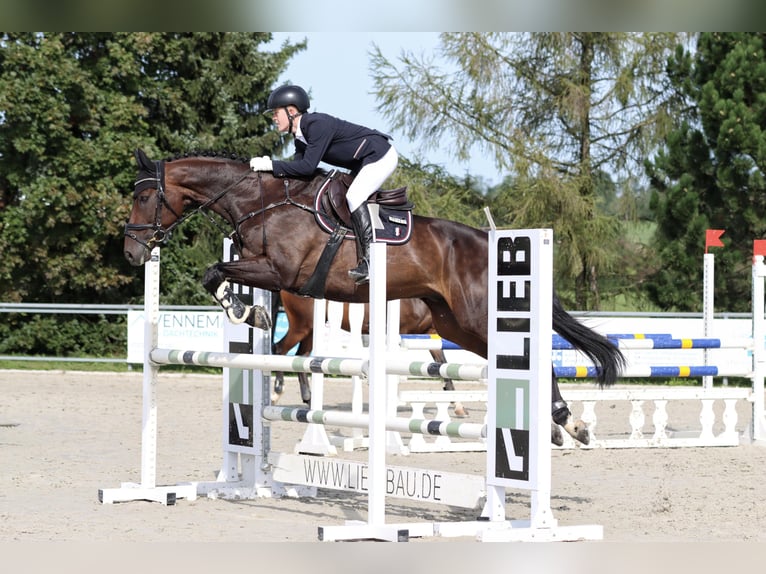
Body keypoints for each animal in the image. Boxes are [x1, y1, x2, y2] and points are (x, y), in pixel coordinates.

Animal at [272, 290, 467, 416]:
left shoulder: (431, 335)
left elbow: (442, 365)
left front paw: (458, 405)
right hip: (302, 326)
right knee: (280, 349)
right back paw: (277, 391)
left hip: (311, 329)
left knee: (302, 358)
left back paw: (309, 400)